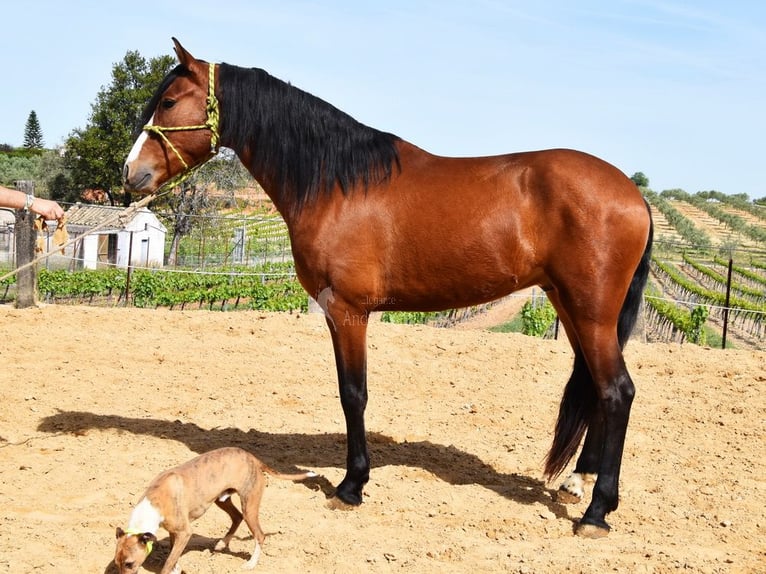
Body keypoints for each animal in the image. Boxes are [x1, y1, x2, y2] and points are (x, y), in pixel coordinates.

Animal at [123, 38, 653, 537]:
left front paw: (352, 485)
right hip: (571, 307)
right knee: (596, 388)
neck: (337, 185)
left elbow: (353, 393)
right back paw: (578, 482)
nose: (131, 174)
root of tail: (633, 195)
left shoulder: (348, 311)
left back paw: (597, 510)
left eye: (168, 101)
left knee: (618, 391)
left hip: (591, 313)